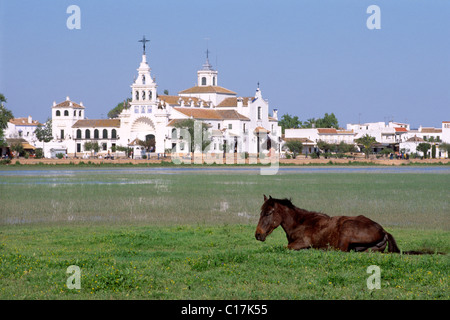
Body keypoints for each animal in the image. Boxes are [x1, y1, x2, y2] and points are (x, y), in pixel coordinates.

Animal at [256, 195, 440, 255]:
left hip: (346, 230)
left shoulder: (302, 243)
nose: (258, 234)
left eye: (268, 213)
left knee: (340, 250)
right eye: (260, 211)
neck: (301, 223)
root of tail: (383, 231)